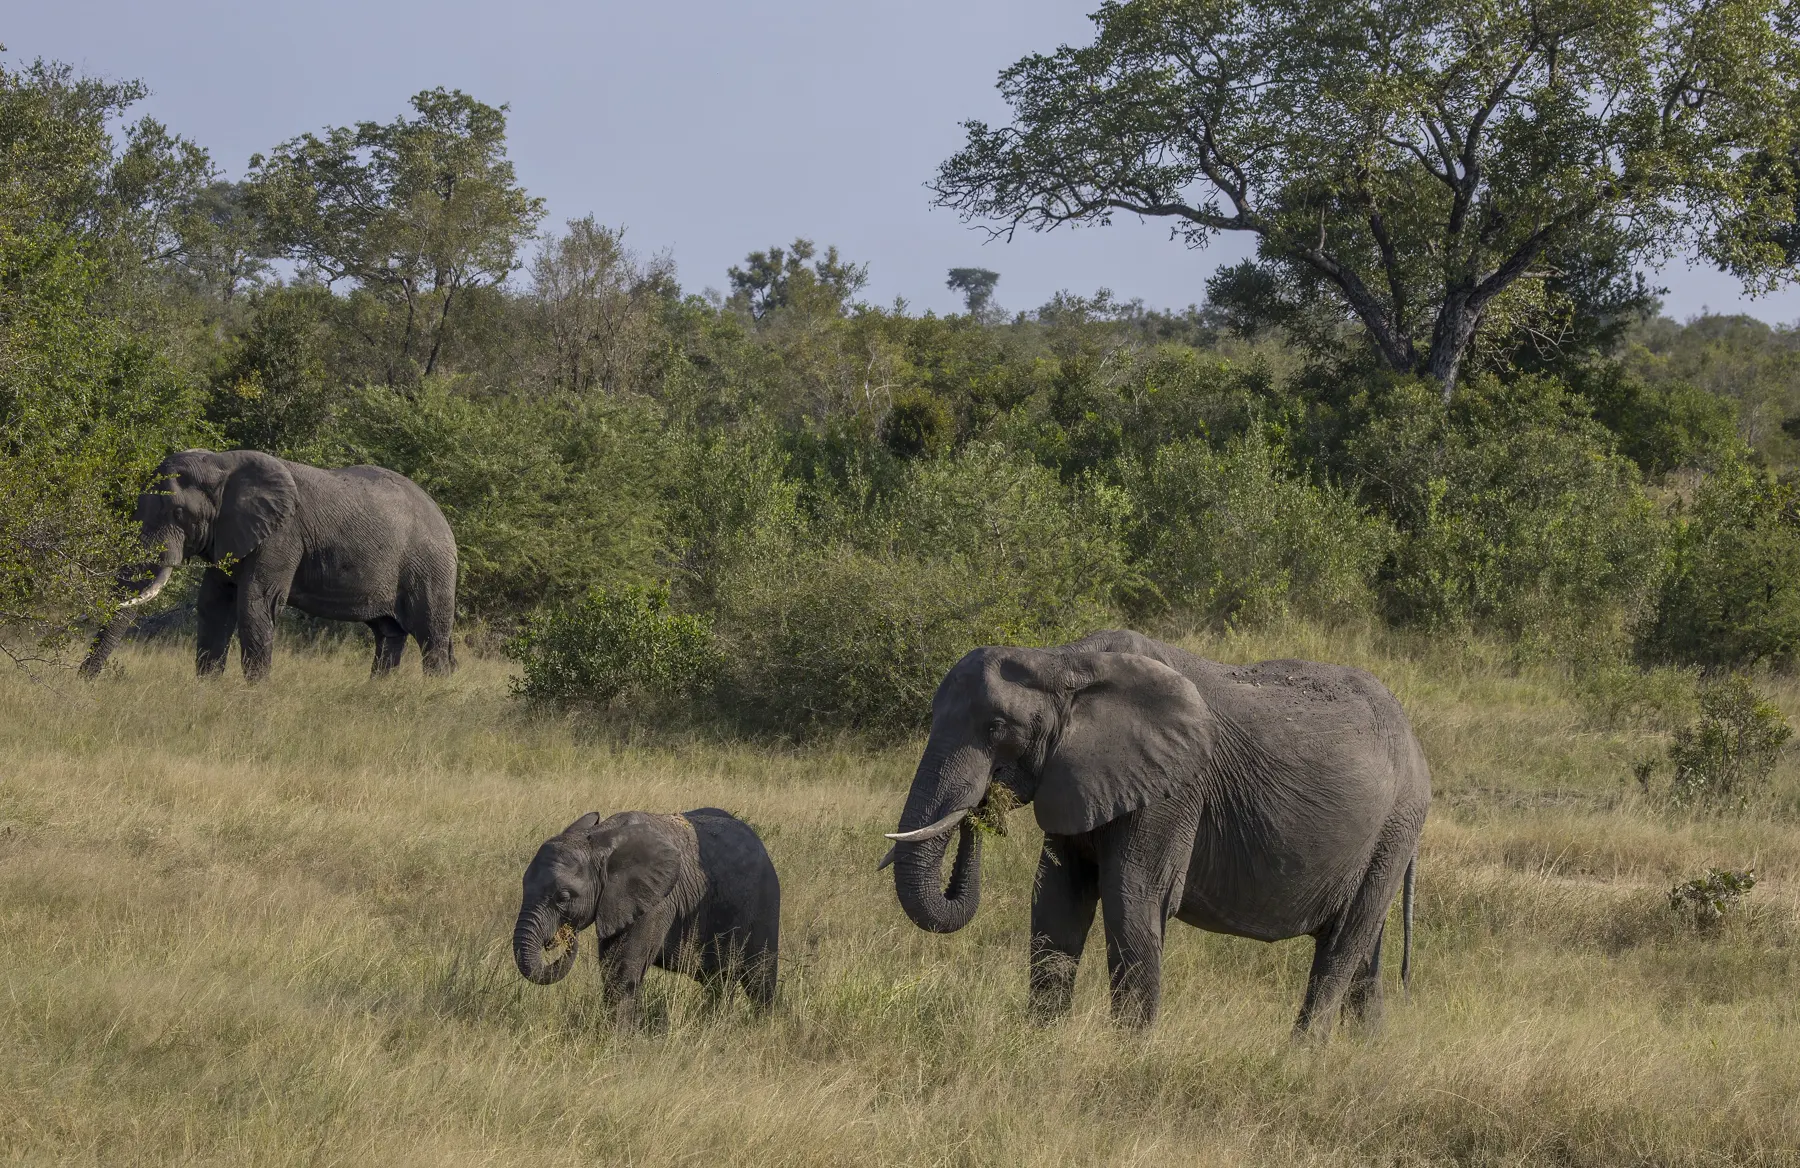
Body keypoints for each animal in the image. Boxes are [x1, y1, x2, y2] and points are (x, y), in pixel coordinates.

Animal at [79, 448, 458, 681]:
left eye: (179, 513)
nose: (83, 681)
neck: (220, 464)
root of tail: (443, 516)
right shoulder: (230, 534)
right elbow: (214, 604)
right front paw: (207, 689)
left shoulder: (281, 534)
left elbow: (255, 602)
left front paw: (254, 695)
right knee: (389, 635)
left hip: (430, 566)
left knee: (431, 635)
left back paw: (435, 693)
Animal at [513, 808, 781, 1026]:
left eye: (564, 897)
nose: (565, 936)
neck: (599, 839)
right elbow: (610, 966)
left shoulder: (658, 900)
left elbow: (623, 969)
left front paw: (617, 1040)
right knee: (718, 982)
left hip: (765, 900)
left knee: (759, 977)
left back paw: (760, 1028)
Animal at [880, 630, 1430, 1036]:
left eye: (996, 729)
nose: (981, 808)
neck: (1062, 660)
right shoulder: (1078, 778)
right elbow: (1056, 899)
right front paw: (1040, 1042)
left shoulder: (1173, 788)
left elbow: (1133, 899)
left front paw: (1128, 1054)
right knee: (1365, 954)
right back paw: (1364, 1052)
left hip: (1395, 828)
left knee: (1343, 945)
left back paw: (1301, 1057)